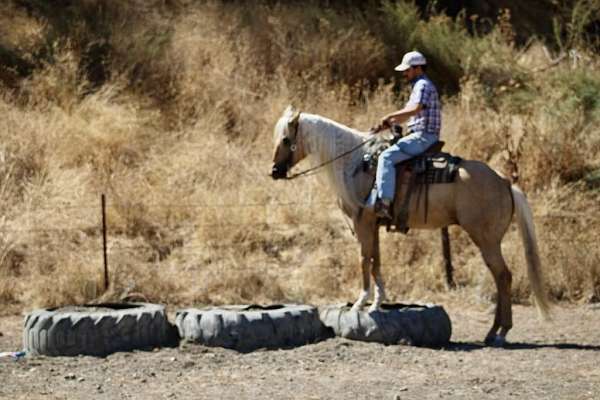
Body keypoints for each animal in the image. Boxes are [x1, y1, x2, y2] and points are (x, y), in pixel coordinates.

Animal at [270, 104, 552, 346]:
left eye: (285, 139)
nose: (274, 171)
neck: (354, 164)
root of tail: (503, 181)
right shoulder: (374, 225)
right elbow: (376, 261)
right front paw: (378, 302)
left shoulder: (362, 223)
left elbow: (363, 260)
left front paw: (360, 303)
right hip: (488, 240)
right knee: (500, 277)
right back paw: (494, 331)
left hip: (486, 239)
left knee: (503, 276)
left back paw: (500, 332)